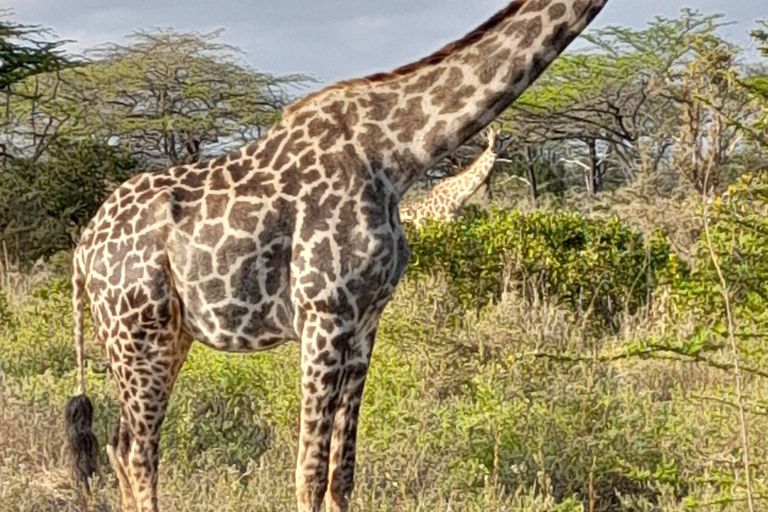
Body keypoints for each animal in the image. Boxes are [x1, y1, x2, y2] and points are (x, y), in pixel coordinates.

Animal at [64, 2, 608, 510]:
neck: (399, 155)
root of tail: (83, 250)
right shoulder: (323, 314)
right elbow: (308, 475)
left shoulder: (366, 318)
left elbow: (341, 475)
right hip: (139, 337)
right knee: (139, 452)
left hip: (163, 338)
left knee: (119, 446)